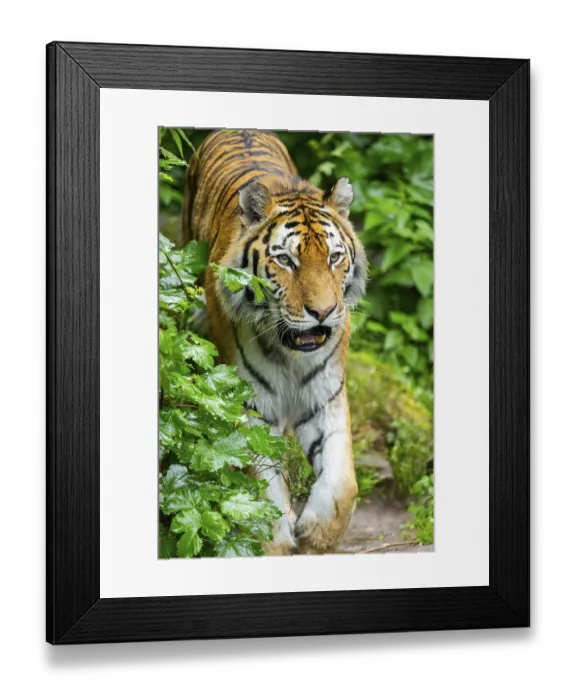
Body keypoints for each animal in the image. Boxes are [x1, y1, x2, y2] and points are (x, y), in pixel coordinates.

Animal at [183, 129, 367, 555]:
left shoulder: (325, 393)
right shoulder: (252, 402)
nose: (323, 311)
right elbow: (260, 486)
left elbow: (342, 480)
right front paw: (276, 540)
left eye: (334, 257)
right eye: (286, 261)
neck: (291, 354)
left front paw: (317, 532)